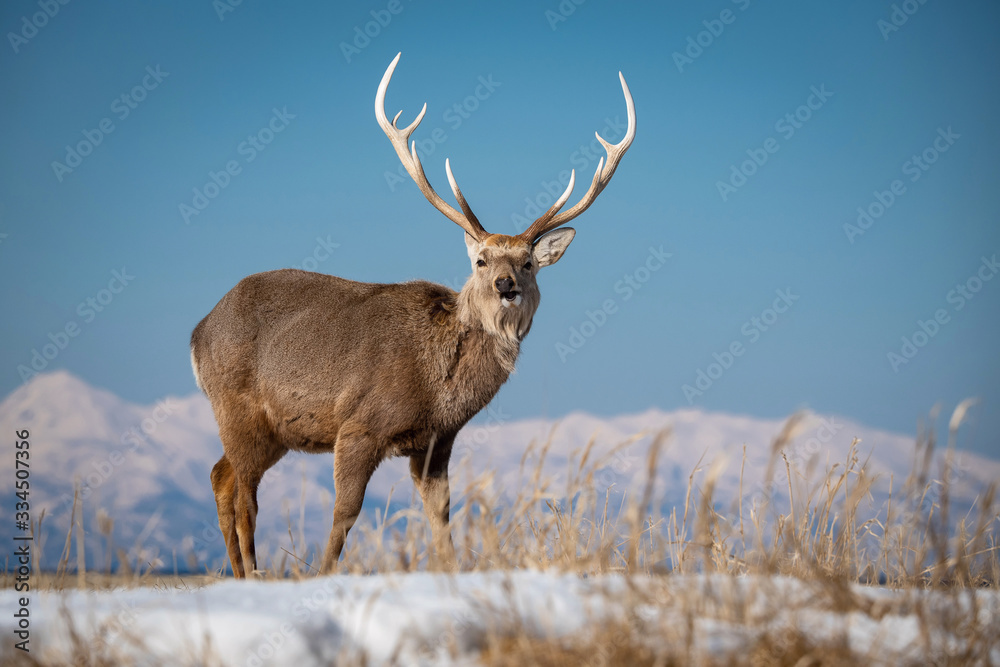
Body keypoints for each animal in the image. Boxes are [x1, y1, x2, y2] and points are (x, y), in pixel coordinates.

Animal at [190, 53, 635, 577]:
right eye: (481, 260)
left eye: (528, 263)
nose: (506, 285)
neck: (437, 386)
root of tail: (198, 331)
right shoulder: (358, 423)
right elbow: (345, 514)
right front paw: (323, 574)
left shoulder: (436, 442)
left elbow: (440, 518)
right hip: (237, 408)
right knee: (244, 496)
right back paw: (251, 574)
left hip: (273, 429)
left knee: (221, 476)